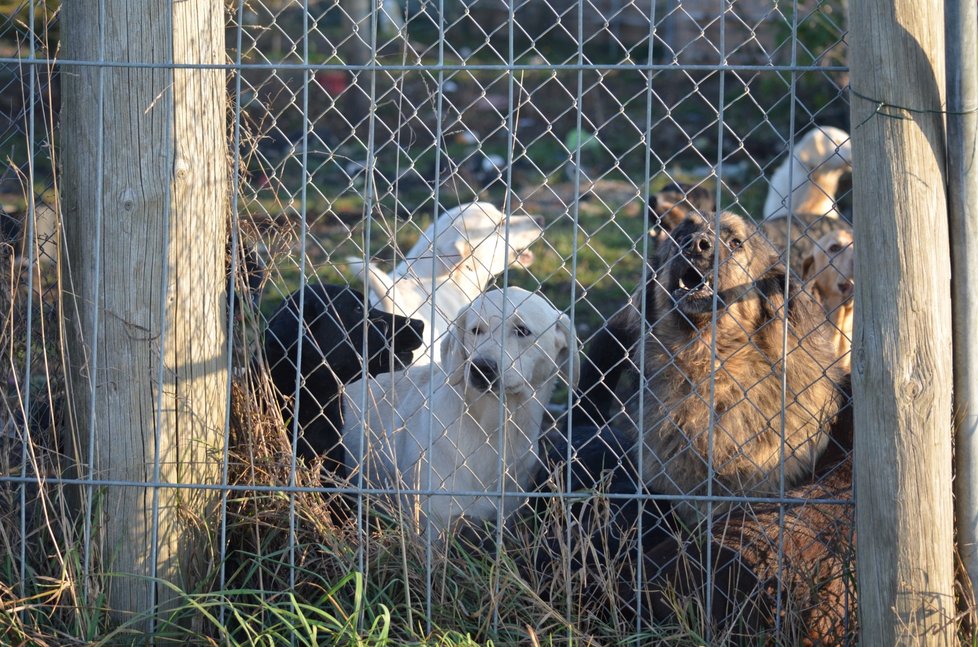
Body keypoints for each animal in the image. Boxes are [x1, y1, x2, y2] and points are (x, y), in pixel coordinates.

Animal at [342, 292, 576, 540]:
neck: (491, 433)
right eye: (476, 330)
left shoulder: (506, 520)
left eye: (522, 330)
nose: (481, 367)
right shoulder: (430, 527)